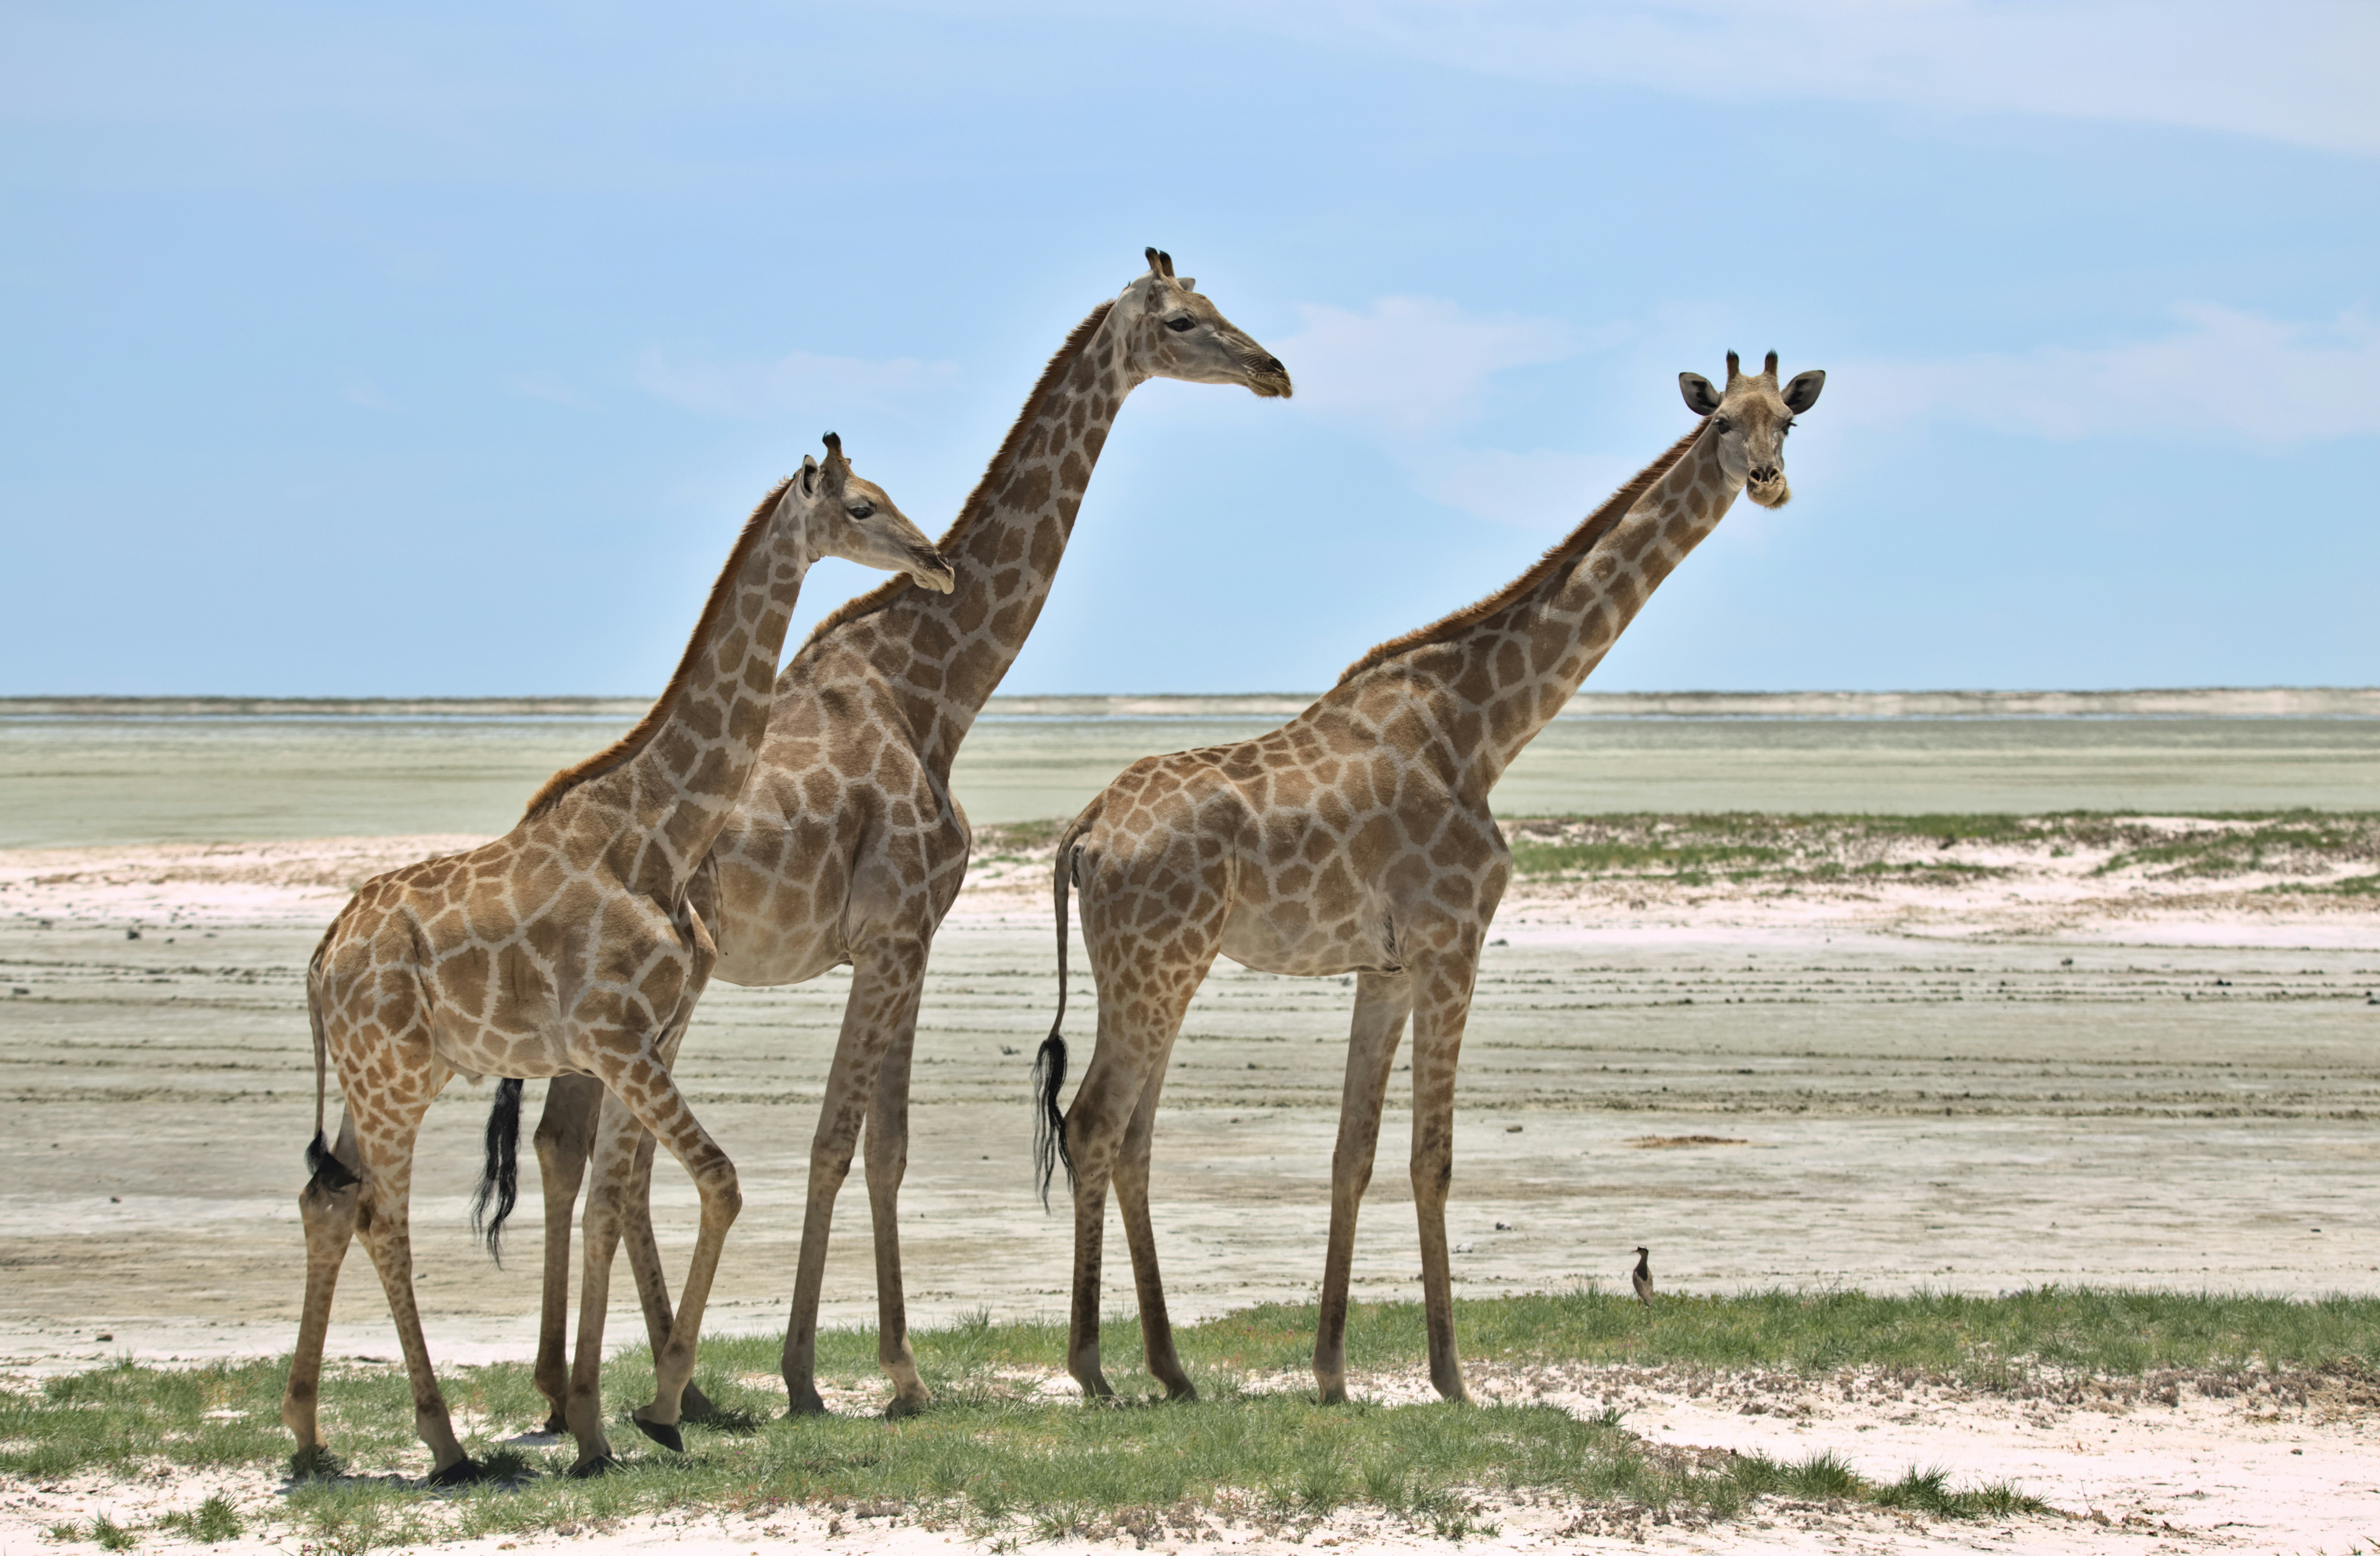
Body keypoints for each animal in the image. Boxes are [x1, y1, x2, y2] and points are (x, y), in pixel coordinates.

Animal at [281, 436, 953, 1480]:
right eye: (864, 507)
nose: (936, 562)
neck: (661, 828)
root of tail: (320, 956)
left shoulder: (637, 1041)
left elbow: (609, 1202)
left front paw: (601, 1423)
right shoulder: (619, 1039)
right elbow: (714, 1180)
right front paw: (655, 1408)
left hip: (382, 1075)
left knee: (329, 1200)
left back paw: (310, 1432)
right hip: (392, 1079)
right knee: (380, 1216)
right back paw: (443, 1440)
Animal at [492, 249, 1292, 1424]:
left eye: (1219, 304)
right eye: (1186, 321)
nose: (1273, 369)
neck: (939, 686)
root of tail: (527, 825)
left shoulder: (911, 939)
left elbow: (888, 1146)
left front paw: (889, 1368)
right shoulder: (893, 932)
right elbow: (837, 1140)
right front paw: (820, 1373)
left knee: (565, 1142)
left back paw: (584, 1385)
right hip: (655, 992)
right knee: (592, 1148)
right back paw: (638, 1384)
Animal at [1033, 352, 1825, 1405]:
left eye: (1788, 420)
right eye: (1722, 424)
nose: (1770, 481)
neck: (1484, 726)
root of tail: (1084, 829)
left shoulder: (1387, 968)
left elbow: (1352, 1154)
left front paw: (1330, 1371)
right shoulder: (1454, 943)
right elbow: (1432, 1158)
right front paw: (1452, 1375)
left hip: (1160, 968)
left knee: (1132, 1137)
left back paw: (1171, 1366)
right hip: (1154, 963)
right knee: (1093, 1122)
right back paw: (1092, 1367)